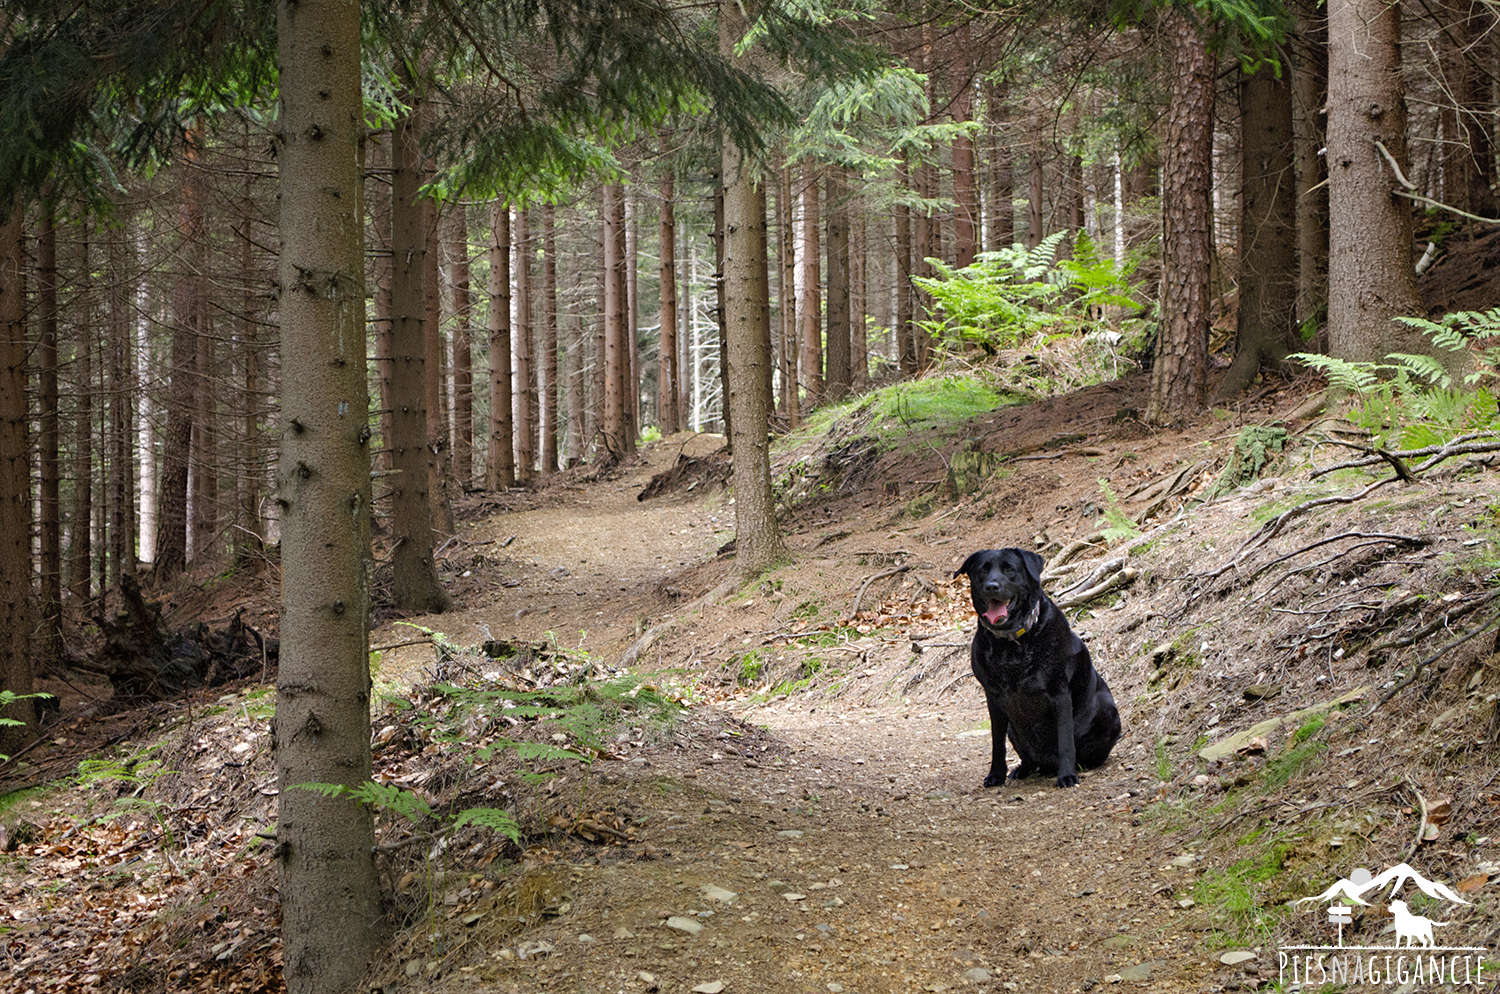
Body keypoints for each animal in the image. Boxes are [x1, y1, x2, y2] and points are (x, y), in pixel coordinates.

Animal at [954, 548, 1122, 791]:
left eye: (1010, 569)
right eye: (982, 571)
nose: (992, 586)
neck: (1011, 644)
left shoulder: (1059, 692)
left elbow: (1065, 741)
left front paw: (1067, 775)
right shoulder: (993, 697)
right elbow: (997, 743)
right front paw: (996, 775)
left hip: (1108, 712)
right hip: (1014, 730)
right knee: (1029, 758)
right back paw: (1022, 769)